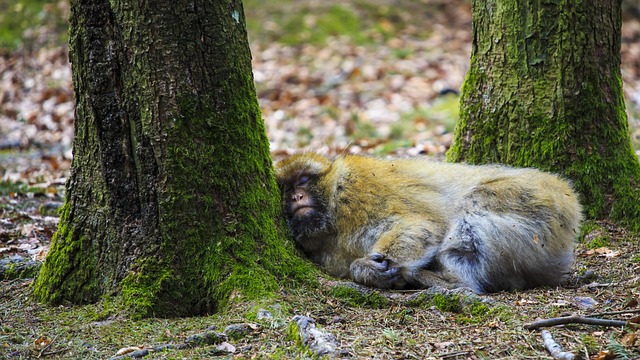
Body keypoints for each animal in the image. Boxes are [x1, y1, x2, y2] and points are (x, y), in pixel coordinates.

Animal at [272, 153, 584, 294]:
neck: (332, 223)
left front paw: (370, 266)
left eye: (303, 180)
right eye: (287, 189)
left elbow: (422, 223)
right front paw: (367, 272)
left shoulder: (357, 188)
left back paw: (452, 282)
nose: (297, 196)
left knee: (476, 201)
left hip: (541, 205)